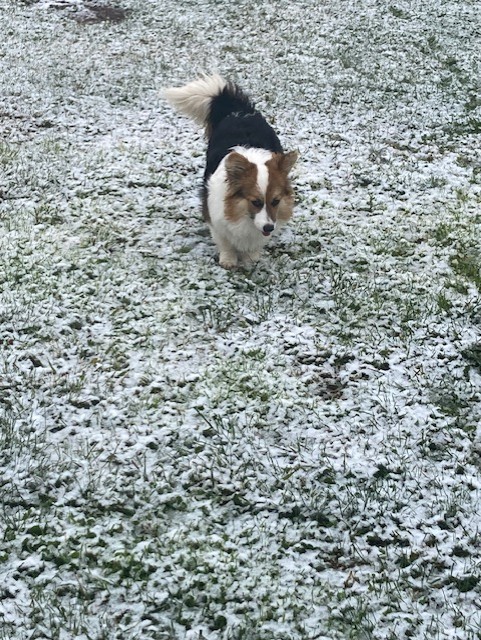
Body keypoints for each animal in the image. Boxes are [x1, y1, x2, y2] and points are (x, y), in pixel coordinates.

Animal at [163, 74, 298, 269]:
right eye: (256, 202)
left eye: (276, 201)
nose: (269, 228)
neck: (243, 216)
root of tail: (239, 109)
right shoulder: (216, 219)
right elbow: (224, 242)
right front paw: (228, 260)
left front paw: (251, 257)